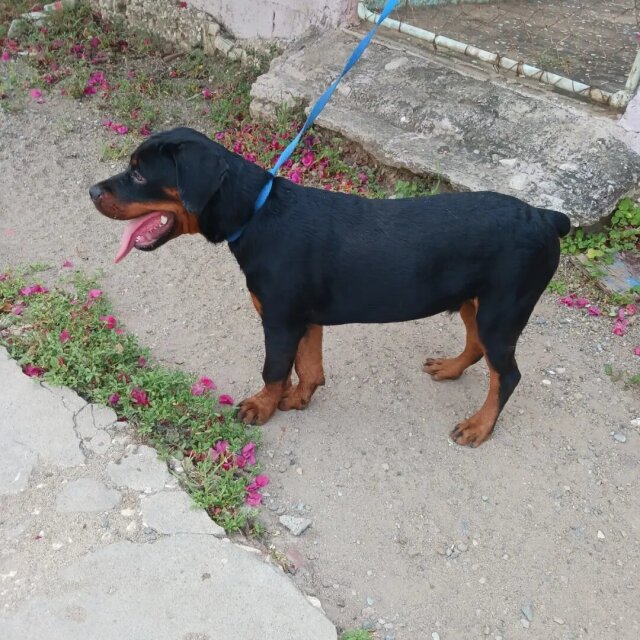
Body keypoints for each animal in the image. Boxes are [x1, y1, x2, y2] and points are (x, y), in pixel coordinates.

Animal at [90, 125, 568, 444]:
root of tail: (546, 218)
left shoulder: (280, 319)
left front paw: (262, 407)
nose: (92, 191)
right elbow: (309, 366)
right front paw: (299, 399)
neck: (257, 214)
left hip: (502, 309)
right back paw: (450, 369)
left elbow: (275, 369)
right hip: (475, 300)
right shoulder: (305, 318)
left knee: (507, 374)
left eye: (138, 174)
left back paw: (479, 426)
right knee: (476, 347)